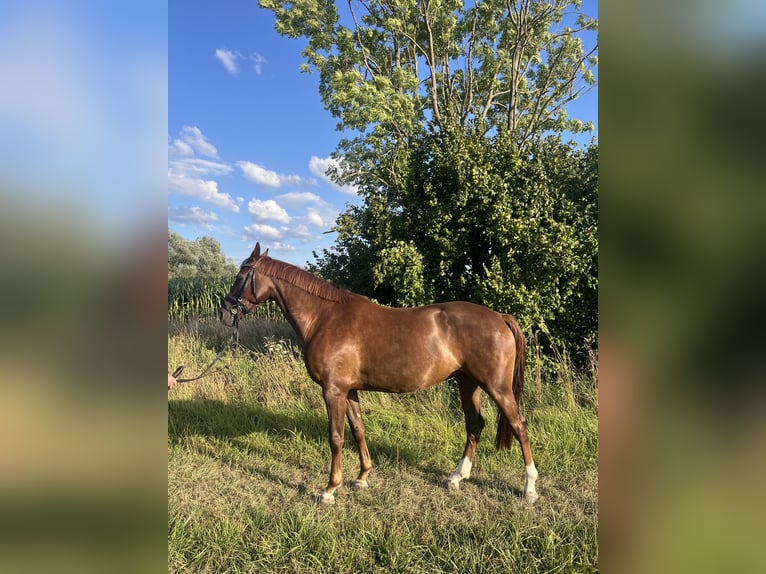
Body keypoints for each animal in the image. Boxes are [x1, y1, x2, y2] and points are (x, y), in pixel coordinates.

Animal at [219, 242, 538, 505]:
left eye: (240, 275)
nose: (224, 312)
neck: (324, 318)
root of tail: (500, 317)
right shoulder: (349, 390)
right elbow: (358, 429)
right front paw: (362, 477)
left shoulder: (333, 390)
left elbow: (336, 437)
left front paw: (329, 489)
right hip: (467, 383)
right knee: (474, 425)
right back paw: (457, 477)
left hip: (496, 387)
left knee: (519, 425)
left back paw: (530, 488)